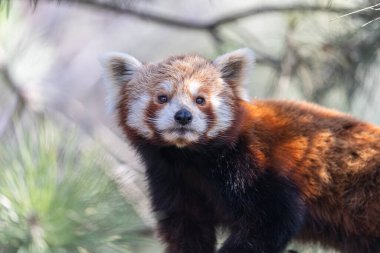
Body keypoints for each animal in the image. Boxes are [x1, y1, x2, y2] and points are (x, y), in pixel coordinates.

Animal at [100, 48, 380, 253]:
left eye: (200, 100)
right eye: (162, 98)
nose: (183, 116)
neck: (189, 158)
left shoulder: (253, 165)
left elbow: (274, 219)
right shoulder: (171, 180)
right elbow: (186, 228)